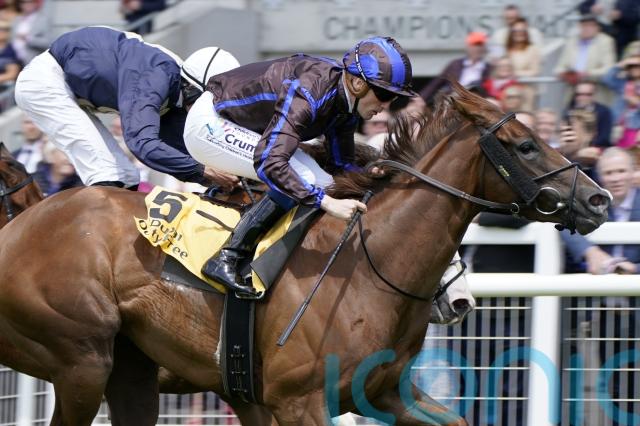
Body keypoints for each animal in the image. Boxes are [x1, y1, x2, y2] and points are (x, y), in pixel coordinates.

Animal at [0, 84, 609, 425]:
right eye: (526, 145)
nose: (598, 198)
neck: (370, 263)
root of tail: (21, 227)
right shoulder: (295, 401)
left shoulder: (383, 391)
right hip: (81, 359)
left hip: (127, 370)